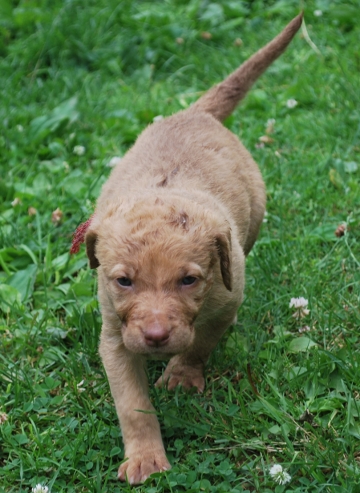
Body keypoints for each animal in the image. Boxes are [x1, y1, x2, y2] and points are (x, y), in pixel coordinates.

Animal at [85, 14, 304, 484]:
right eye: (124, 281)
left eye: (188, 280)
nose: (155, 337)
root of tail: (194, 113)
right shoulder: (114, 334)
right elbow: (132, 404)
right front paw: (146, 457)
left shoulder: (224, 295)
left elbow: (202, 339)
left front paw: (183, 375)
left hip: (254, 218)